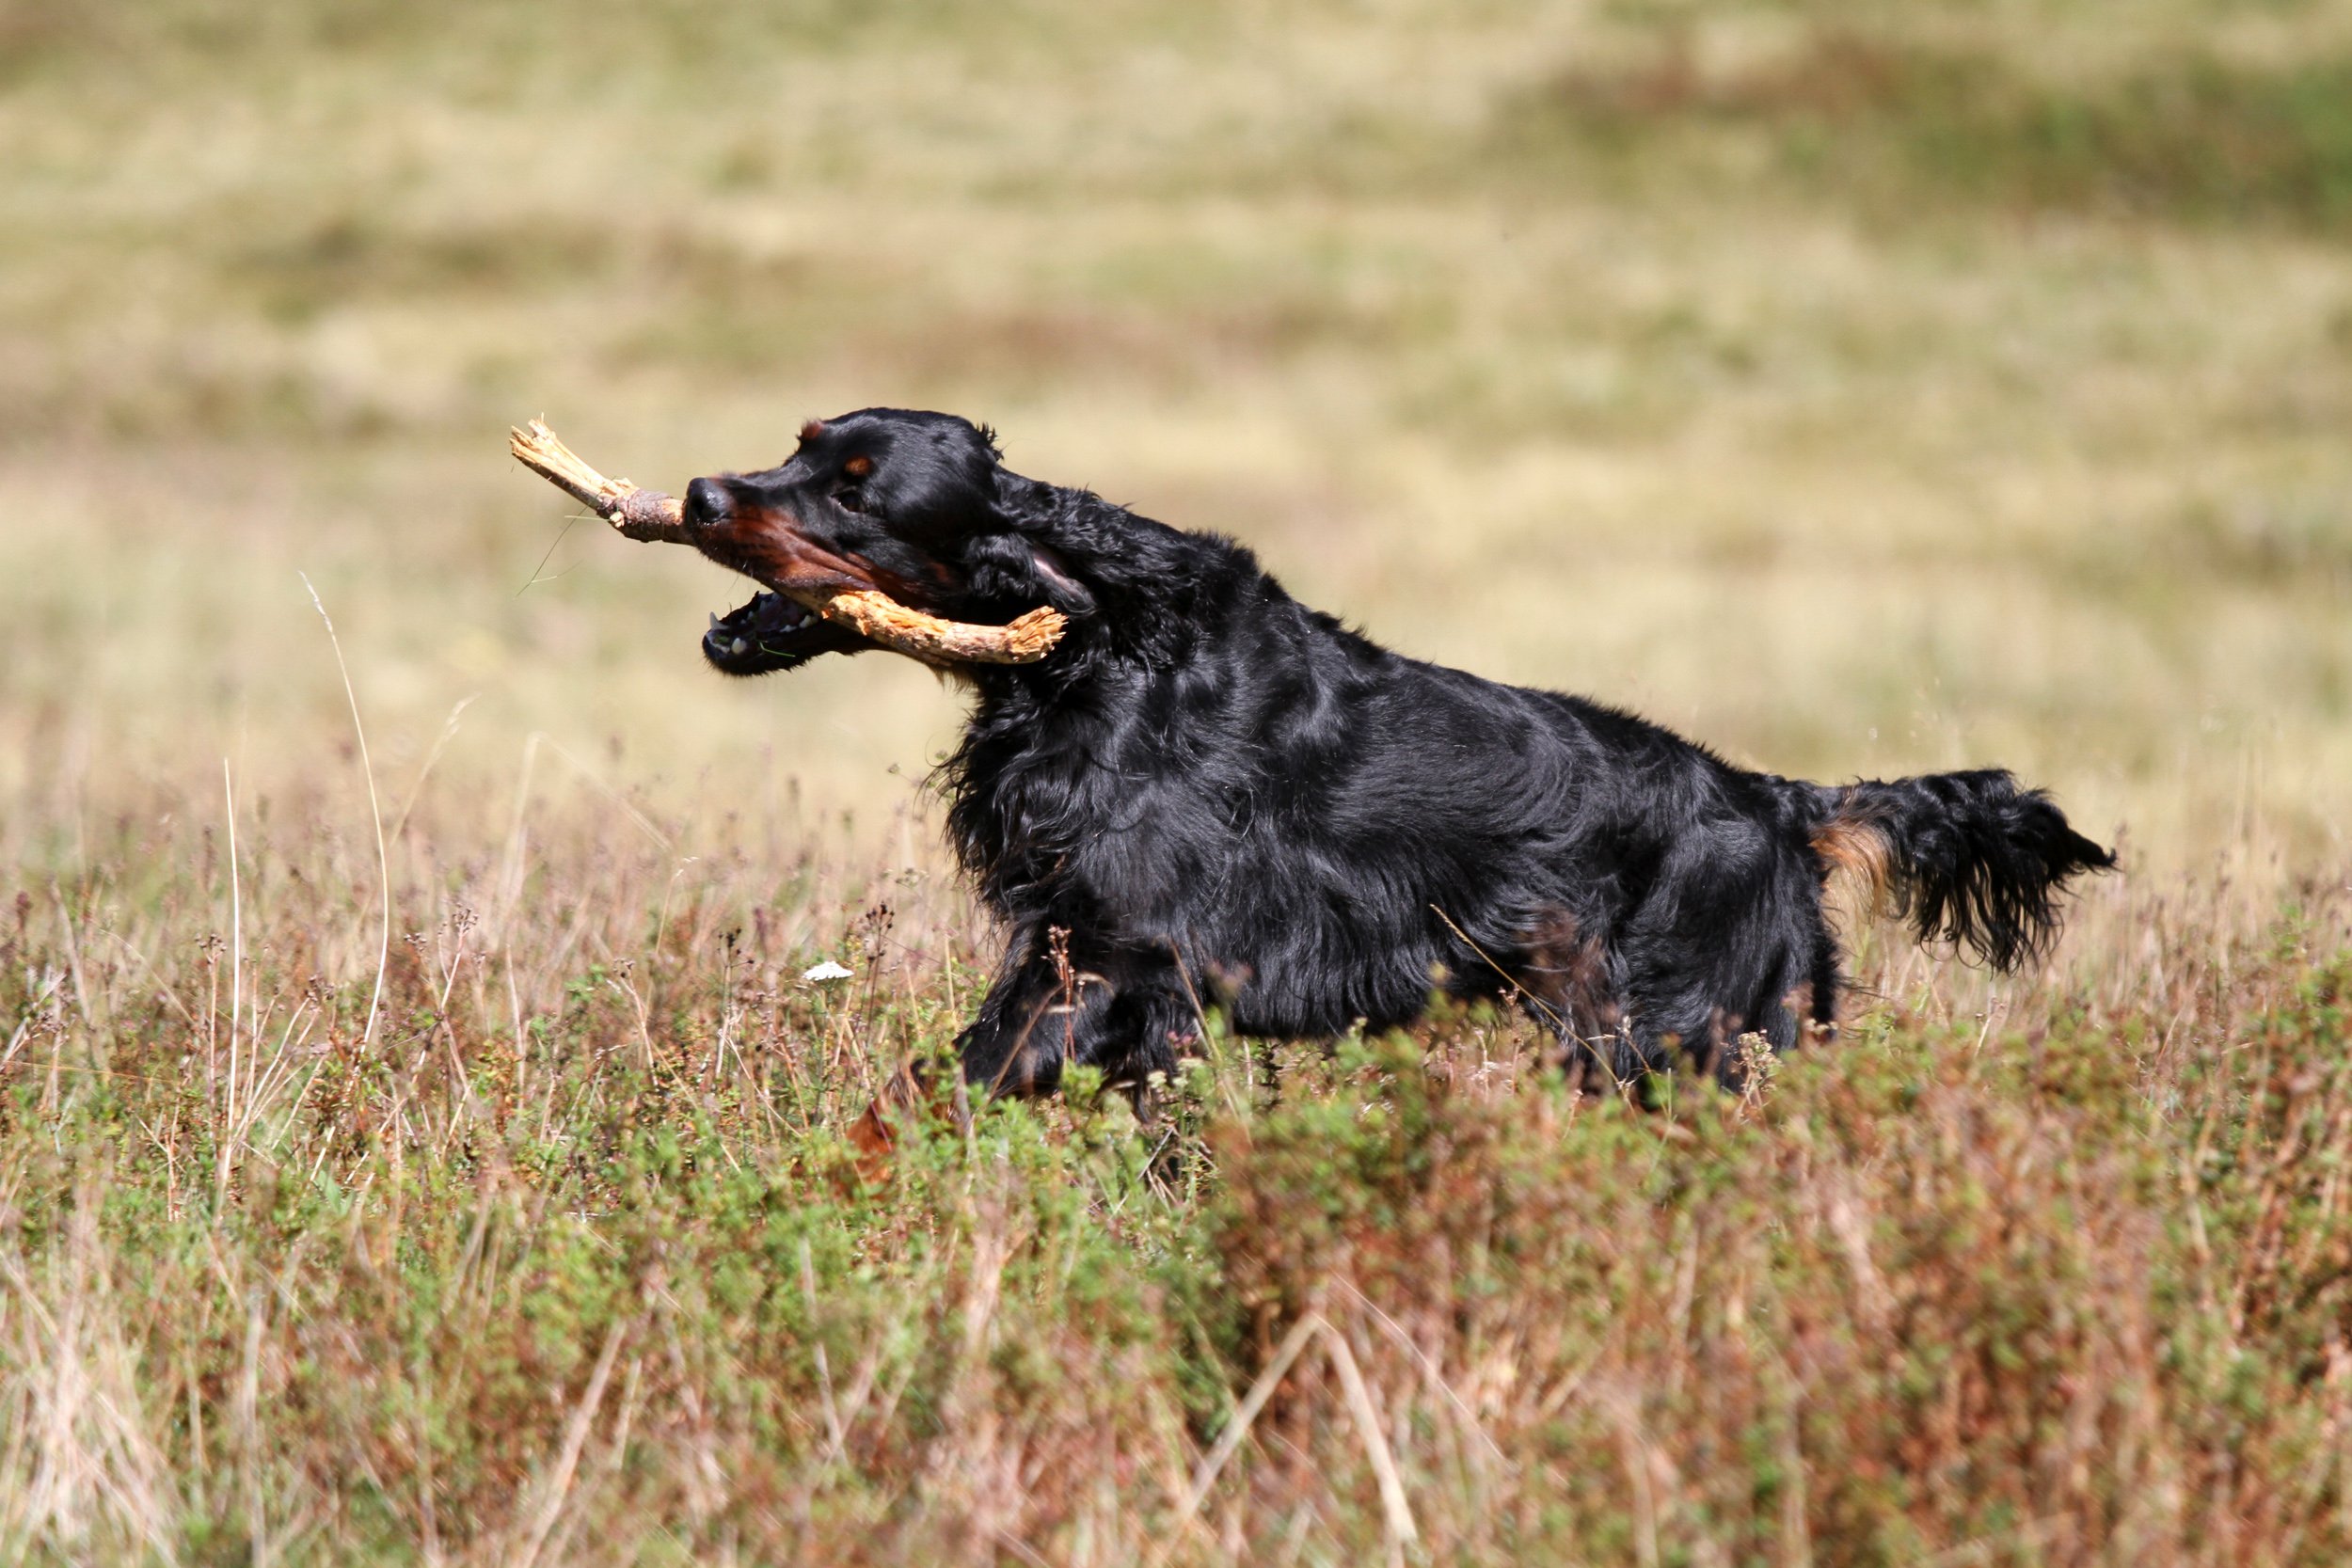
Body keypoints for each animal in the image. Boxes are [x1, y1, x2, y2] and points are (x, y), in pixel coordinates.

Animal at [682, 404, 2117, 1090]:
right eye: (800, 444)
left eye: (859, 487)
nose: (698, 492)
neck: (1099, 650)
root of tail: (1775, 801)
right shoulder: (1112, 968)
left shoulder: (1115, 954)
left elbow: (962, 1083)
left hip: (1682, 1037)